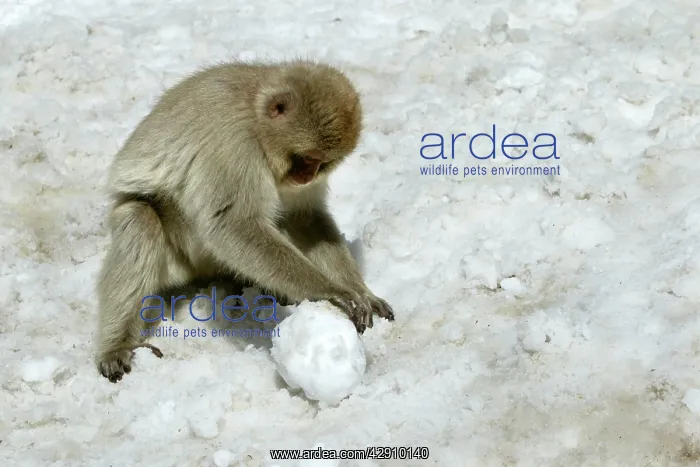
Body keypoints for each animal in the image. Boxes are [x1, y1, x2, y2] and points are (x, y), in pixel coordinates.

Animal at [95, 60, 395, 382]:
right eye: (305, 158)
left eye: (322, 163)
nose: (307, 176)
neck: (256, 114)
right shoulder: (233, 142)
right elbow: (231, 225)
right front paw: (333, 292)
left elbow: (303, 217)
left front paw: (360, 291)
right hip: (177, 260)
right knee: (140, 218)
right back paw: (116, 344)